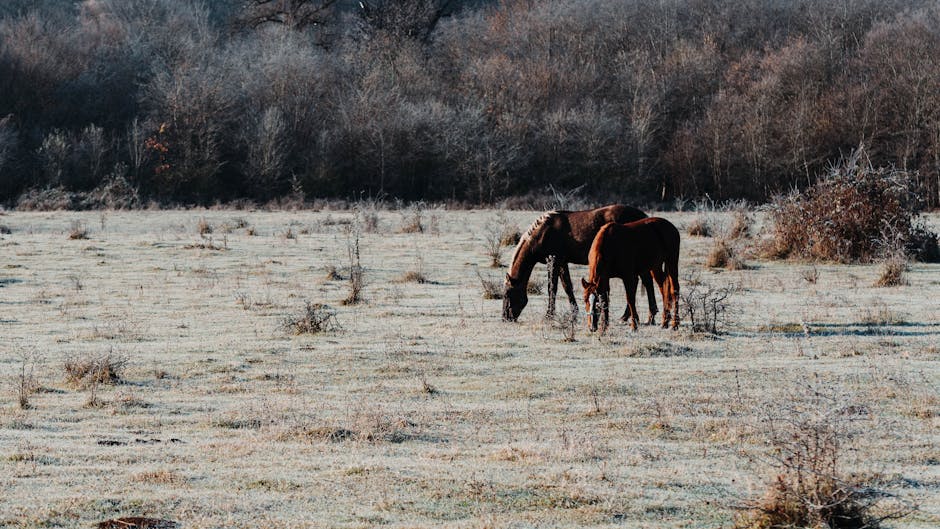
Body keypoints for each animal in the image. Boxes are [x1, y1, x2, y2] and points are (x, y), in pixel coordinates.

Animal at [500, 204, 660, 322]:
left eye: (507, 294)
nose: (505, 317)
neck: (543, 232)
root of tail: (644, 217)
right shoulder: (562, 263)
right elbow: (567, 287)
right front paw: (574, 312)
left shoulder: (554, 261)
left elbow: (552, 288)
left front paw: (549, 315)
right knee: (643, 281)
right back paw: (637, 316)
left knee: (644, 281)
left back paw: (641, 316)